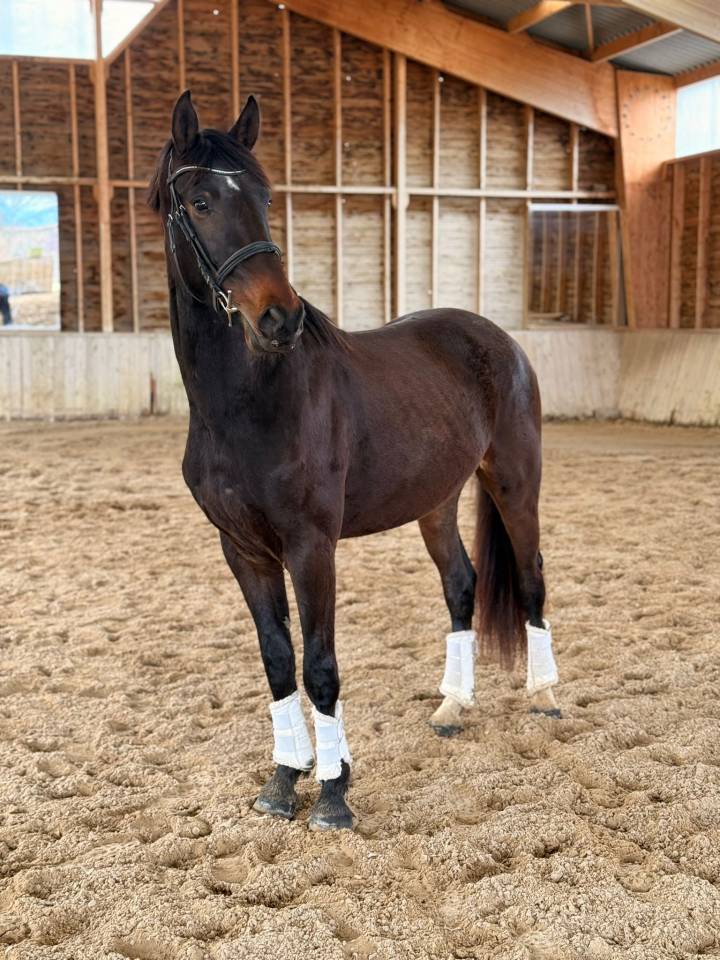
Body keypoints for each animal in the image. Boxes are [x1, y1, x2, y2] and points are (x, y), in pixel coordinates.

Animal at [149, 91, 561, 831]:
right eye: (199, 200)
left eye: (265, 196)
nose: (278, 318)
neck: (249, 402)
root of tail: (498, 339)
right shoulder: (243, 550)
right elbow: (278, 661)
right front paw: (284, 780)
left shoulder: (312, 546)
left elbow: (320, 665)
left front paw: (334, 793)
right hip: (437, 500)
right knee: (461, 585)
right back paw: (452, 705)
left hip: (515, 482)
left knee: (532, 576)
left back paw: (544, 694)